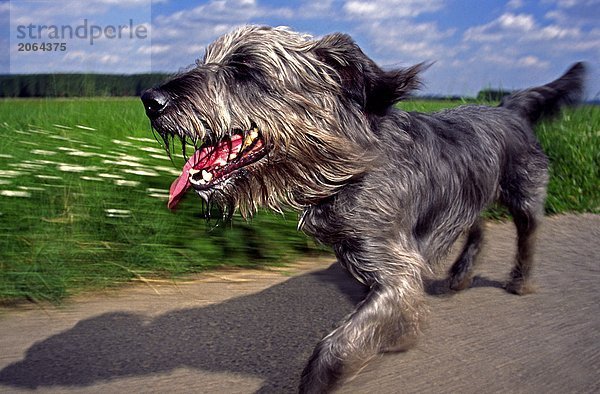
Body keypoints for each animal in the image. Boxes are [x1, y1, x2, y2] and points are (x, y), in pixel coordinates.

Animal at [139, 26, 580, 392]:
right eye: (205, 59)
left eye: (245, 70)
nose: (150, 99)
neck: (346, 168)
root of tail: (509, 107)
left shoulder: (397, 270)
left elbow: (335, 347)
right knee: (476, 227)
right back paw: (459, 273)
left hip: (523, 194)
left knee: (526, 235)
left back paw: (519, 280)